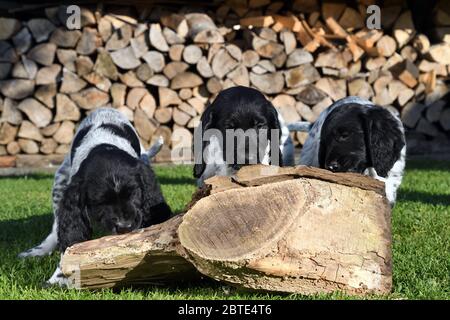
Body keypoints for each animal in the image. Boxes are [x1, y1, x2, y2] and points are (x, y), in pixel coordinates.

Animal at [18, 107, 172, 284]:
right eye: (100, 201)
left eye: (134, 193)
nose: (124, 226)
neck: (103, 145)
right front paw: (59, 276)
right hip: (60, 180)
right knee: (56, 226)